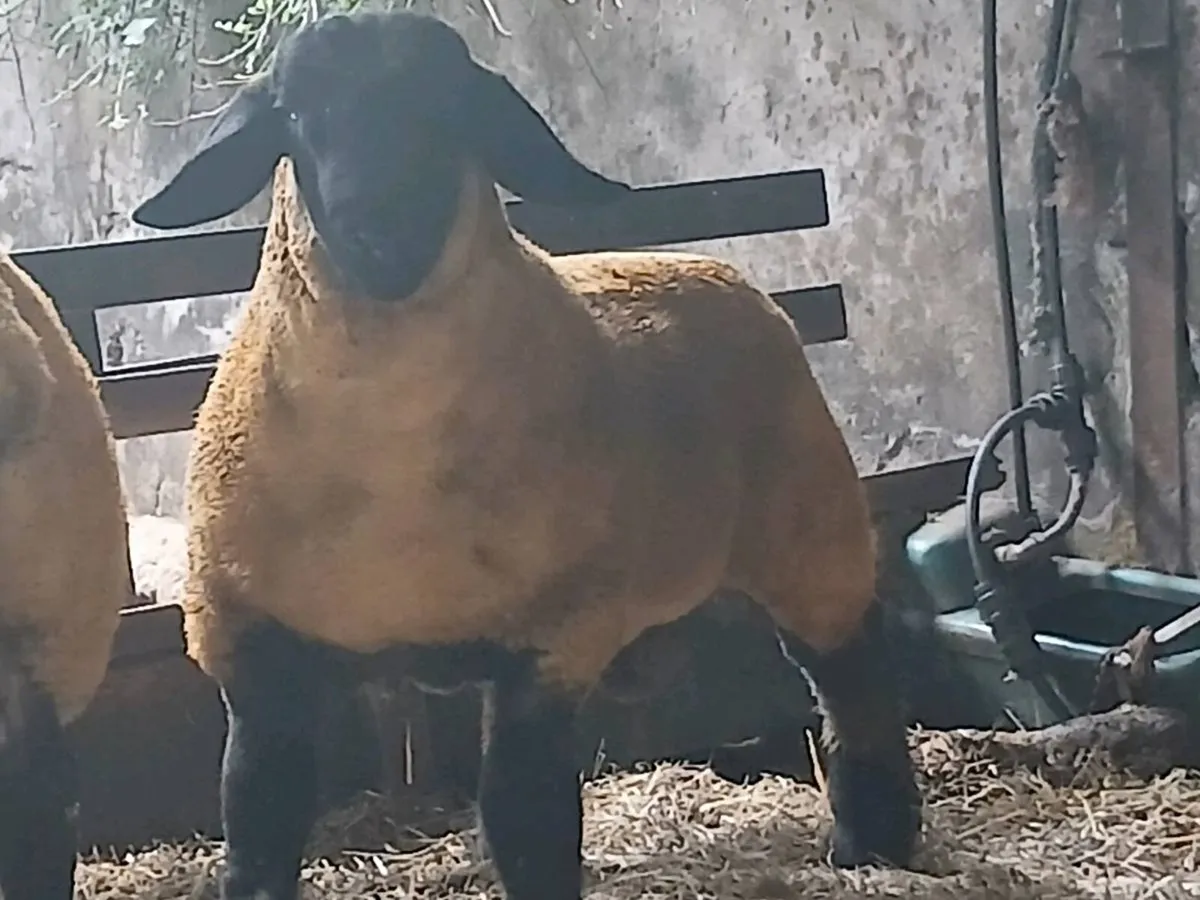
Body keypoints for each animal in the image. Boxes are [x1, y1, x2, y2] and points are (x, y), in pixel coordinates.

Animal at [130, 10, 922, 900]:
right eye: (297, 114)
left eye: (452, 108)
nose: (380, 225)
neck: (394, 480)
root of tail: (716, 268)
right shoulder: (254, 648)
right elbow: (259, 826)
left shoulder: (548, 643)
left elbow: (527, 817)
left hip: (809, 523)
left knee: (850, 671)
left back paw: (873, 838)